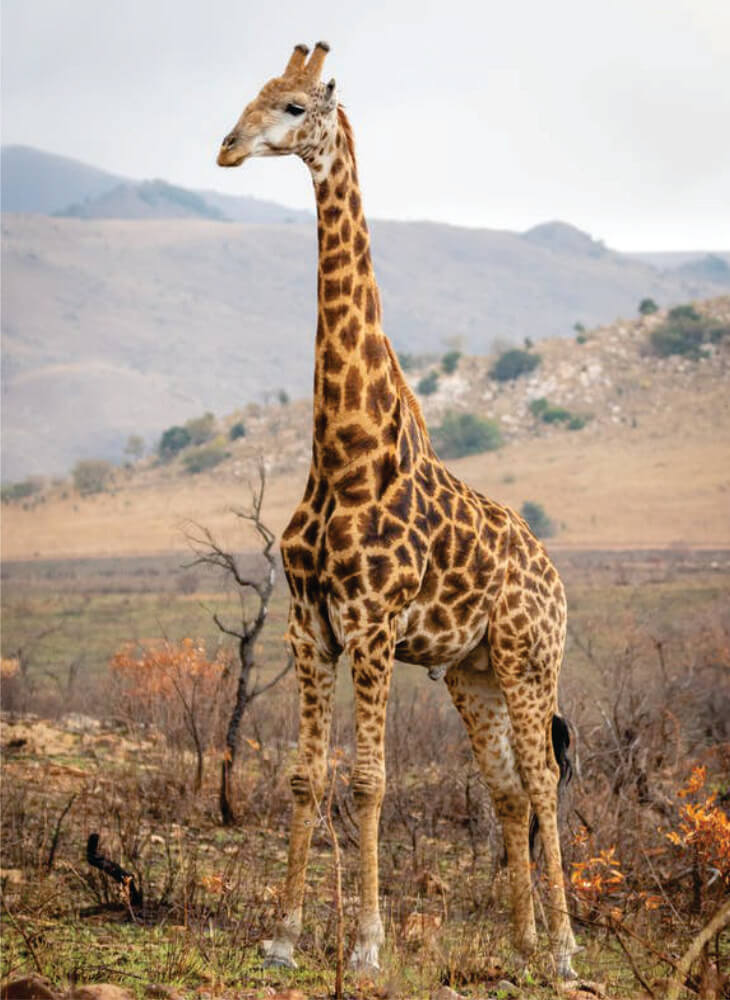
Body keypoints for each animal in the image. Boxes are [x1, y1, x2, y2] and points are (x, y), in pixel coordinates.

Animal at [213, 43, 576, 980]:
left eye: (295, 104)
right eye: (251, 93)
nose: (227, 147)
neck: (344, 452)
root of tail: (557, 578)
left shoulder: (373, 623)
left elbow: (370, 779)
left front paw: (369, 944)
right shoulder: (308, 625)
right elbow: (306, 776)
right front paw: (283, 936)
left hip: (530, 659)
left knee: (544, 780)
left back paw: (565, 948)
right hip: (472, 673)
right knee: (508, 790)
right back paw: (523, 939)